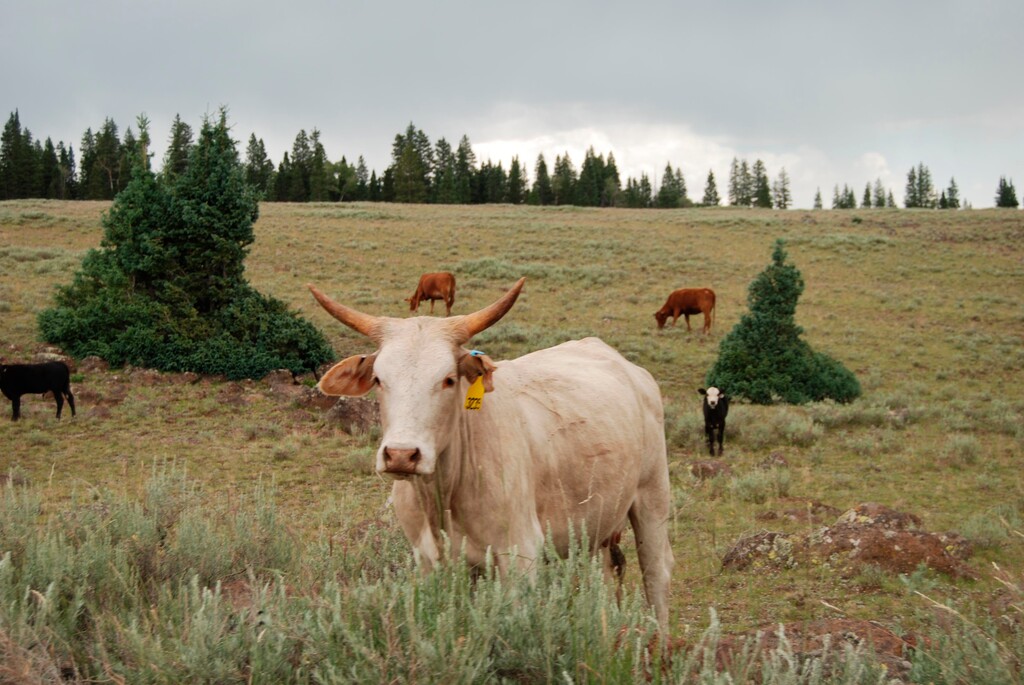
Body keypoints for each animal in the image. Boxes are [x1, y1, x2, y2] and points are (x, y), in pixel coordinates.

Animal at [309, 277, 674, 630]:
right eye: (378, 379)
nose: (401, 455)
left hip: (652, 499)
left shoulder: (520, 555)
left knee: (656, 575)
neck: (444, 494)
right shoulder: (428, 561)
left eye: (448, 379)